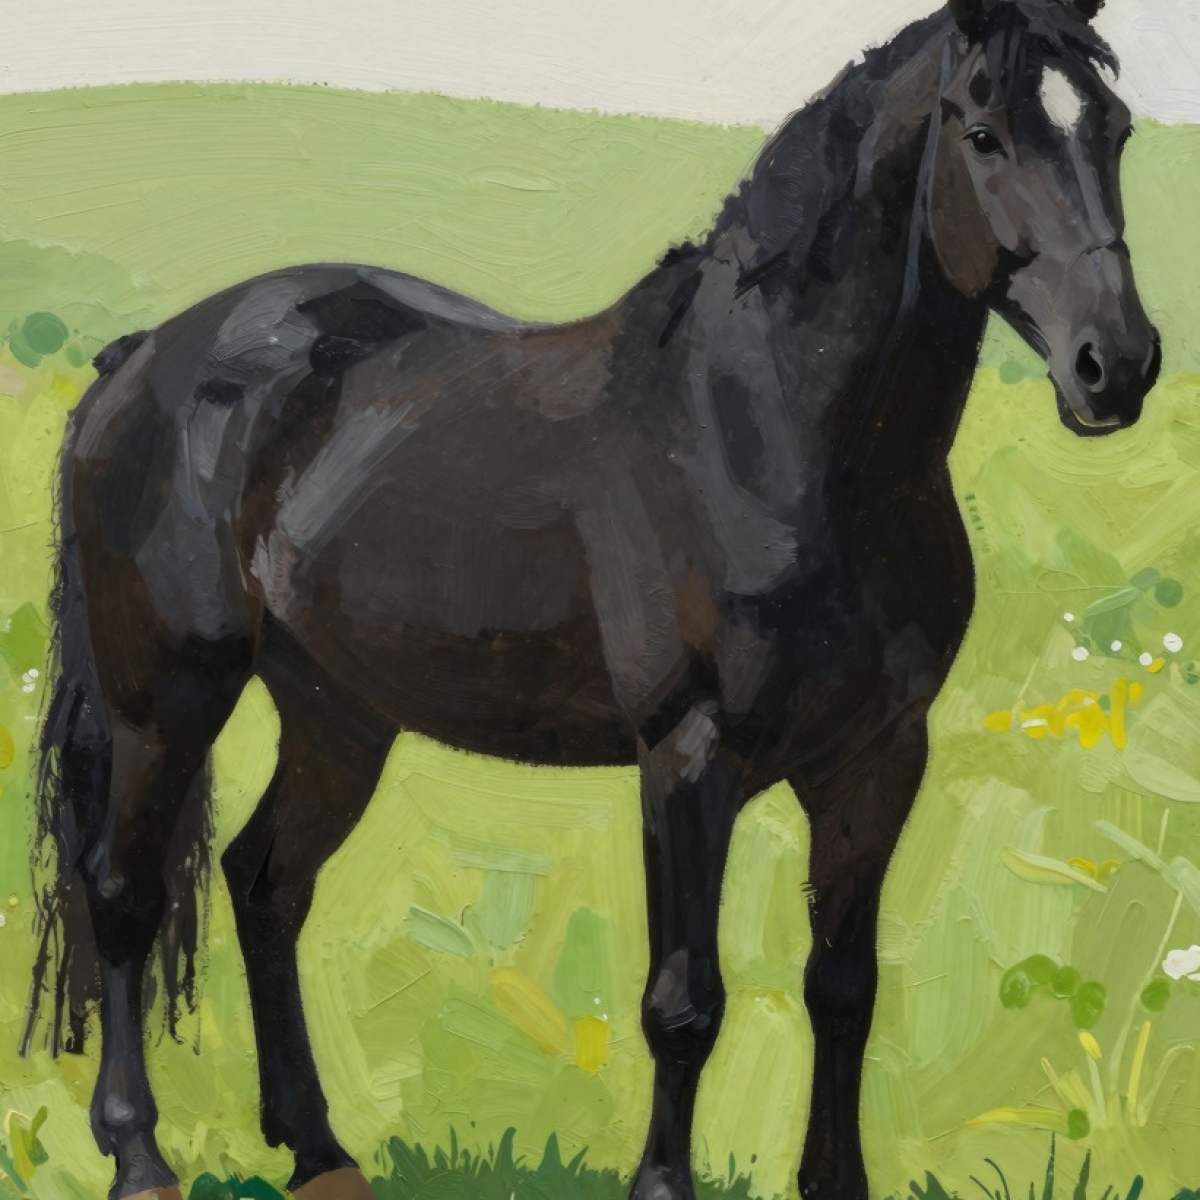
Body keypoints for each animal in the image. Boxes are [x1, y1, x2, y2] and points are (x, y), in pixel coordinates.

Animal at [21, 0, 1160, 1197]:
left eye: (1115, 127)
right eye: (985, 135)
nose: (1116, 366)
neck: (775, 437)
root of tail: (141, 358)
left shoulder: (881, 758)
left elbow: (844, 988)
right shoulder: (689, 759)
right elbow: (684, 1004)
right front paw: (661, 1183)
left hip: (339, 716)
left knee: (265, 883)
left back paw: (322, 1152)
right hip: (165, 702)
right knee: (125, 897)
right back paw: (138, 1153)